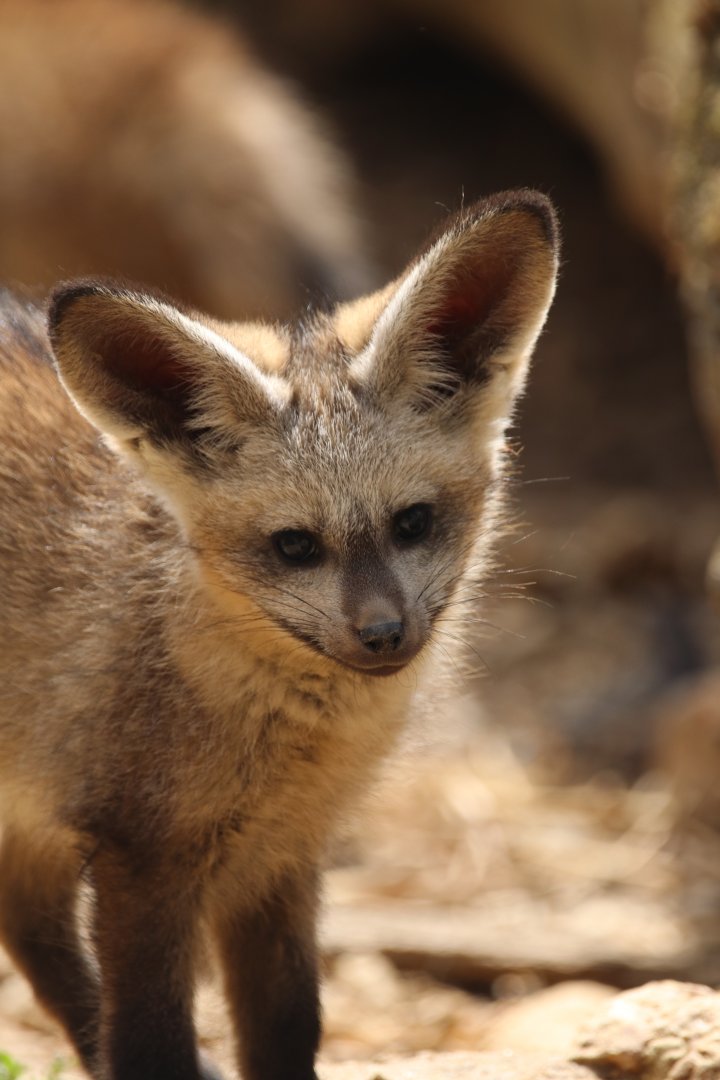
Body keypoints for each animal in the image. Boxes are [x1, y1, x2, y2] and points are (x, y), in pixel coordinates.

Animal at [0, 190, 558, 1080]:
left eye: (413, 522)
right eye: (295, 546)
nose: (384, 635)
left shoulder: (283, 854)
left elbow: (287, 1024)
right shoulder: (143, 856)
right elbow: (152, 1042)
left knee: (28, 931)